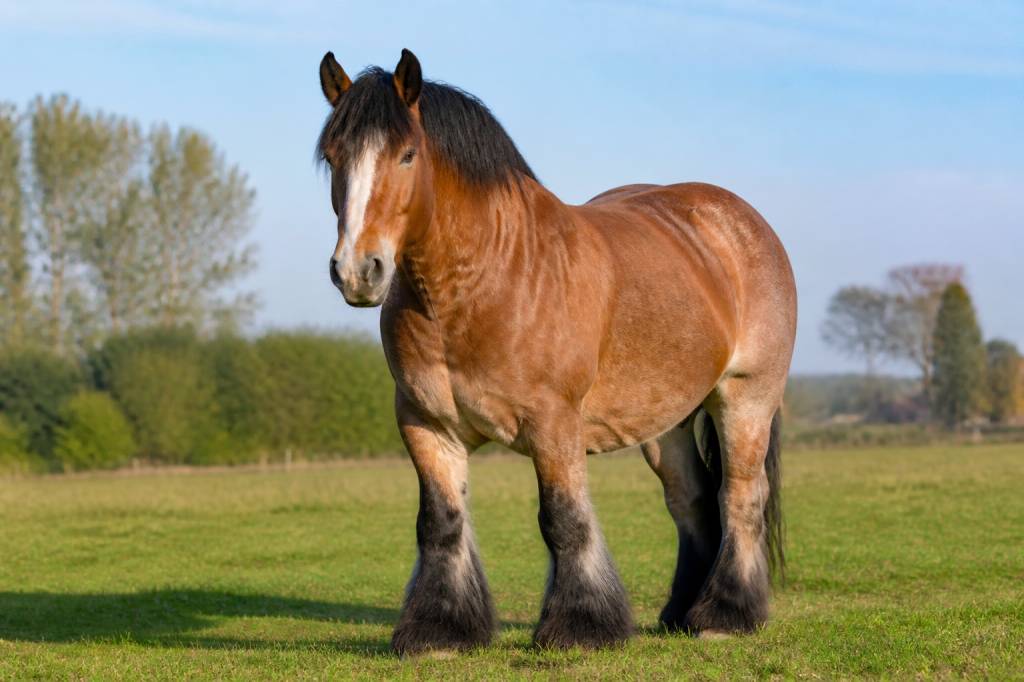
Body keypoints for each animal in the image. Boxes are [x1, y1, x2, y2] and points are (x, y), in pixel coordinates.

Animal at [316, 49, 797, 654]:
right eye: (333, 157)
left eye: (407, 155)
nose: (358, 271)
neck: (484, 281)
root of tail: (740, 222)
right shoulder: (426, 423)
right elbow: (440, 522)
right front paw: (440, 629)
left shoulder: (553, 423)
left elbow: (563, 519)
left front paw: (579, 626)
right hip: (667, 425)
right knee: (691, 500)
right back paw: (681, 611)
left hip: (745, 400)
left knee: (740, 496)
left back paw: (725, 615)